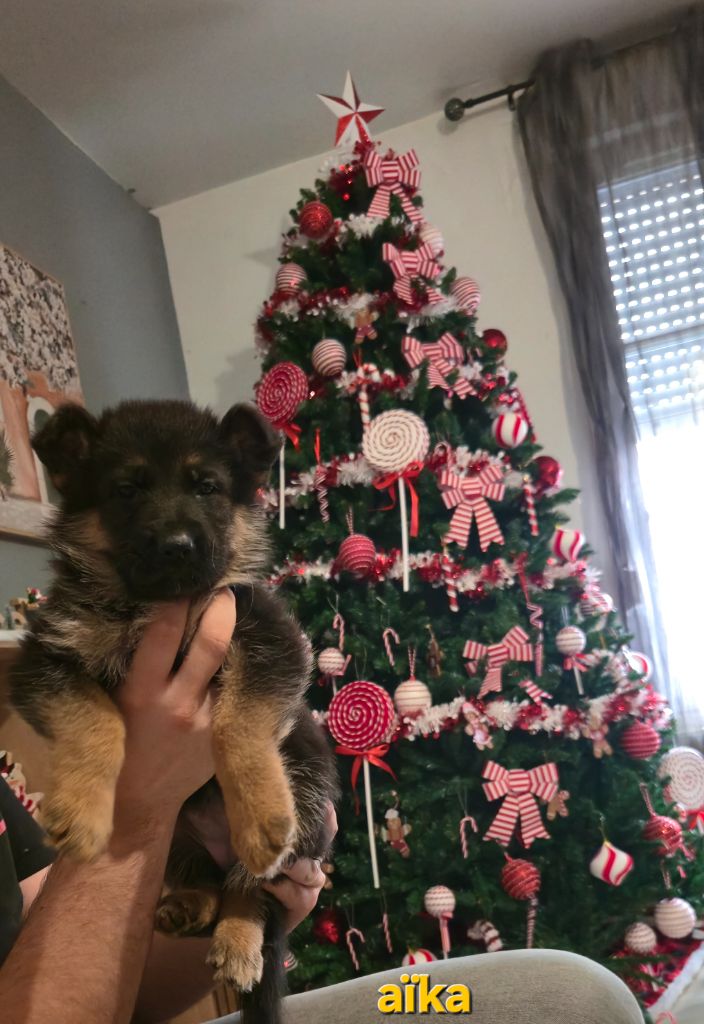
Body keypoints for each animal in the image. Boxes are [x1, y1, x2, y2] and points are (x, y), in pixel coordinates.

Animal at [10, 399, 338, 1023]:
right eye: (126, 490)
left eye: (207, 487)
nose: (177, 545)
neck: (153, 601)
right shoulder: (48, 657)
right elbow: (95, 723)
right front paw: (82, 812)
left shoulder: (268, 637)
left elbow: (240, 724)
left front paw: (261, 813)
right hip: (173, 841)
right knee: (204, 875)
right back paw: (190, 905)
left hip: (307, 793)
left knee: (251, 887)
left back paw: (238, 936)